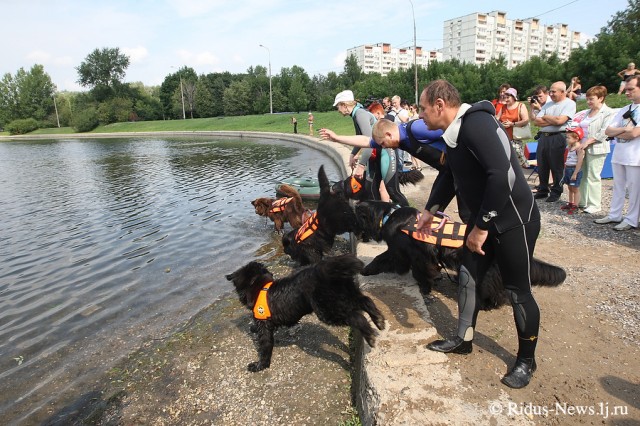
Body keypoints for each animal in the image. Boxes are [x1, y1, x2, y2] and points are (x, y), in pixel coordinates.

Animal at [225, 255, 384, 372]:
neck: (260, 287)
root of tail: (325, 271)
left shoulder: (264, 325)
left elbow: (265, 346)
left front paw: (259, 366)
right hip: (346, 295)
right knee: (366, 300)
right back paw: (379, 320)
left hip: (327, 310)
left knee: (356, 317)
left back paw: (370, 335)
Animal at [356, 201, 564, 310]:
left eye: (357, 218)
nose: (356, 233)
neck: (388, 217)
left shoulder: (411, 255)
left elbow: (402, 266)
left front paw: (425, 287)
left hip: (488, 274)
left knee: (496, 292)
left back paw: (487, 304)